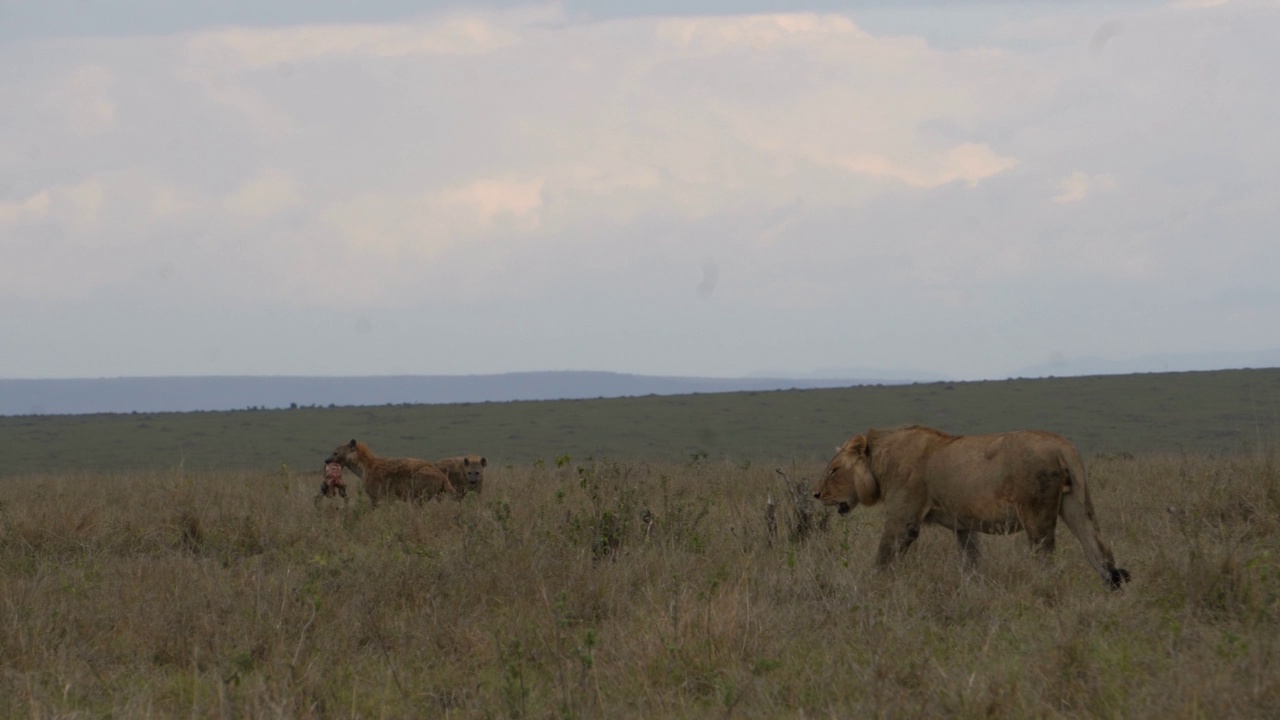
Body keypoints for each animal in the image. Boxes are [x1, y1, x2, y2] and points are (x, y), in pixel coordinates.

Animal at [325, 438, 455, 504]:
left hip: (420, 494)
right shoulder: (388, 497)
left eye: (335, 452)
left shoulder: (376, 495)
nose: (326, 460)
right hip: (439, 494)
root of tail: (443, 476)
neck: (363, 468)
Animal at [819, 422, 1131, 586]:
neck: (879, 463)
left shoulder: (903, 521)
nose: (815, 495)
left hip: (1037, 515)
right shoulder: (963, 527)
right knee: (1101, 551)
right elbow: (970, 563)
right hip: (1077, 506)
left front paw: (874, 587)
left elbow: (883, 557)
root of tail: (1063, 445)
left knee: (1048, 561)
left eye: (834, 470)